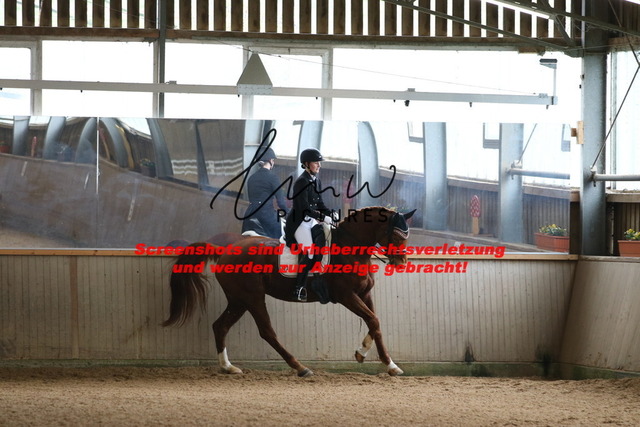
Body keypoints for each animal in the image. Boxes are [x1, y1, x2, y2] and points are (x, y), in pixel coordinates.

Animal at [162, 206, 416, 377]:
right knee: (267, 331)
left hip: (238, 300)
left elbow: (375, 322)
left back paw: (228, 367)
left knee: (220, 326)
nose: (401, 263)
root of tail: (224, 250)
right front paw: (389, 365)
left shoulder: (364, 295)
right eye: (396, 235)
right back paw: (300, 367)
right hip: (253, 298)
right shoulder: (347, 296)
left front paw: (364, 354)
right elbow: (373, 321)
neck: (349, 247)